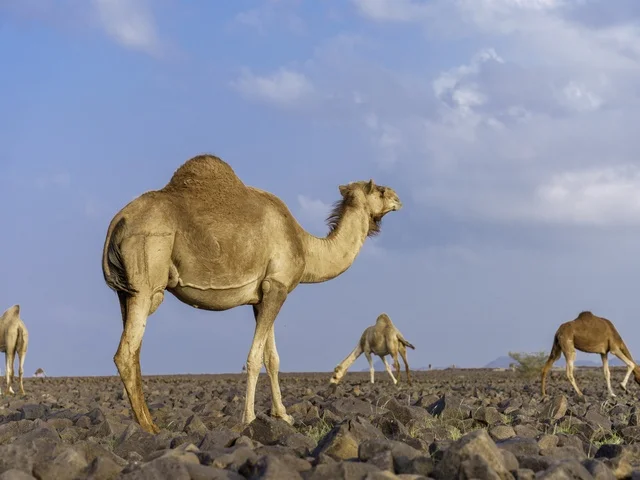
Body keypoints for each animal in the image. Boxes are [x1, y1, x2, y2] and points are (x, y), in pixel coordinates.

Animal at [102, 154, 402, 433]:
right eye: (380, 190)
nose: (398, 198)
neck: (305, 246)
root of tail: (118, 220)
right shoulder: (277, 286)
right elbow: (255, 357)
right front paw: (249, 418)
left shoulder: (263, 295)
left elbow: (273, 358)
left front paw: (283, 415)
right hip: (146, 282)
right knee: (126, 351)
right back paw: (149, 427)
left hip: (124, 292)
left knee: (133, 349)